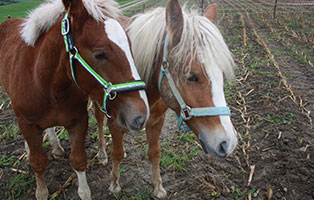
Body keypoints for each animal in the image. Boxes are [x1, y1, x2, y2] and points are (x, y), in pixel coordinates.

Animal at [0, 0, 150, 198]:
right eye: (100, 54)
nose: (140, 116)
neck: (44, 84)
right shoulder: (27, 124)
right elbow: (38, 162)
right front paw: (41, 191)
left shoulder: (78, 121)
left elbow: (78, 161)